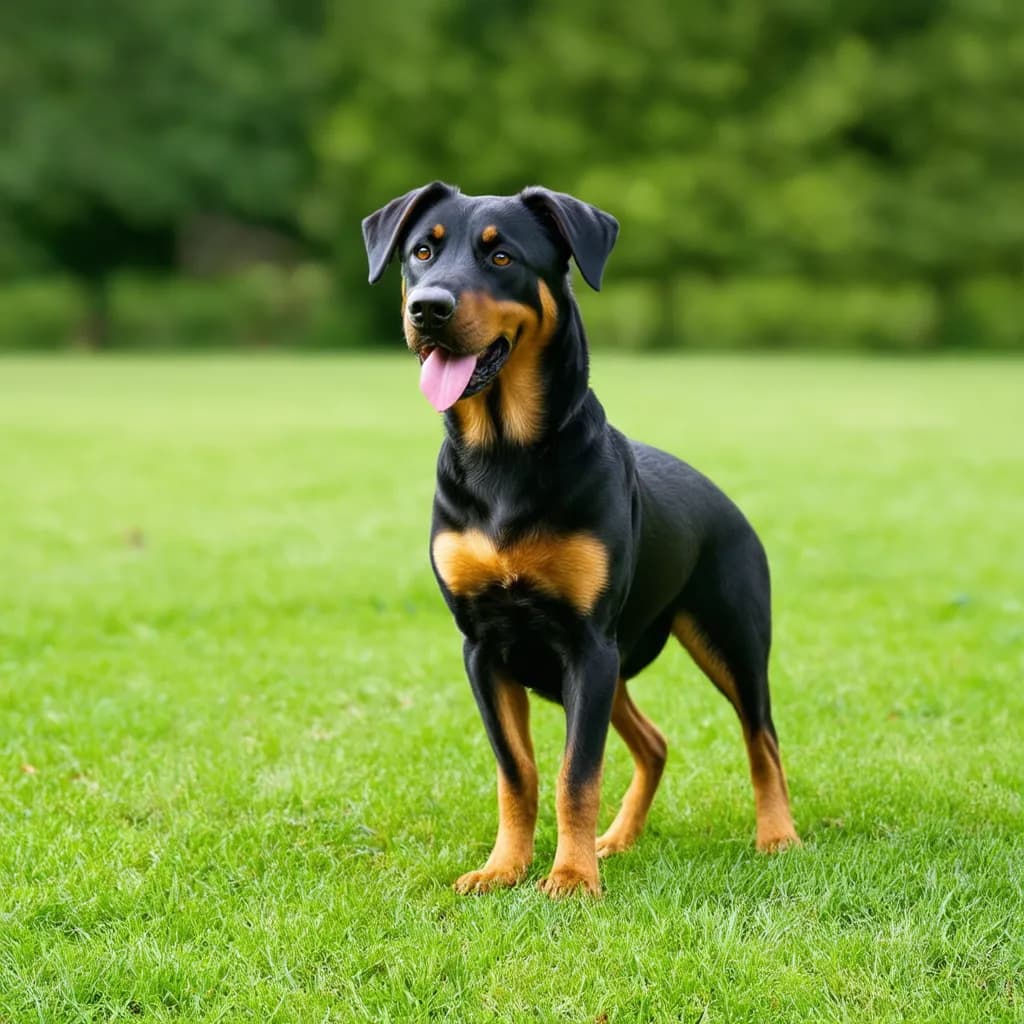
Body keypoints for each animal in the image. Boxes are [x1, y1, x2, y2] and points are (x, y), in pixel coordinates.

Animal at [360, 184, 798, 897]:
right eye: (422, 251)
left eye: (502, 255)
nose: (429, 307)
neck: (504, 454)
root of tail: (724, 499)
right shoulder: (484, 648)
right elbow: (519, 773)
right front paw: (504, 868)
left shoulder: (588, 645)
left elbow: (576, 775)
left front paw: (569, 877)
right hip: (618, 664)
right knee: (655, 743)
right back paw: (617, 839)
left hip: (726, 637)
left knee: (762, 736)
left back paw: (777, 834)